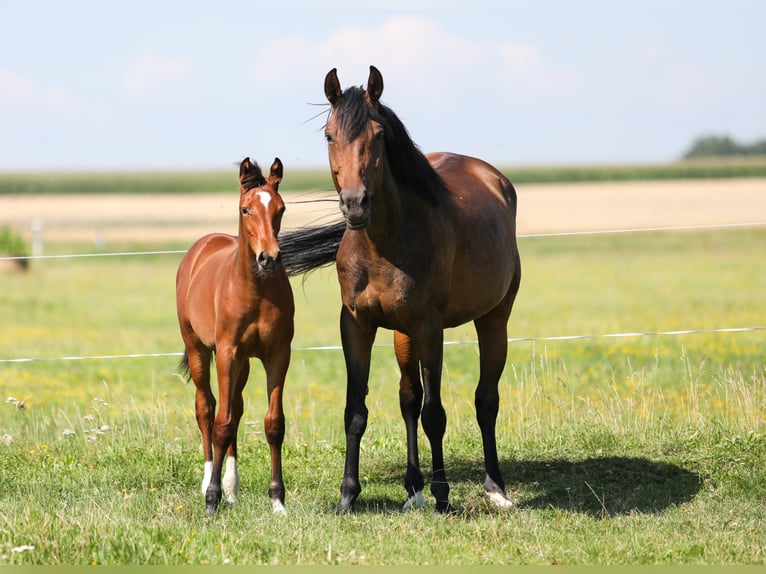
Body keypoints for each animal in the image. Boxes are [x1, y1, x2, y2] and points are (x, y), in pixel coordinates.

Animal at [176, 158, 294, 516]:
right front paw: (211, 499)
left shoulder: (277, 354)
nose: (269, 258)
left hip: (243, 363)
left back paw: (231, 488)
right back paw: (208, 485)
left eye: (281, 208)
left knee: (236, 407)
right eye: (245, 209)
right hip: (200, 350)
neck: (255, 291)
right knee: (207, 407)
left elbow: (273, 423)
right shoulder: (227, 352)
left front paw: (277, 500)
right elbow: (221, 423)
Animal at [282, 65, 520, 516]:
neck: (383, 246)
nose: (355, 204)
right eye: (329, 135)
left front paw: (443, 494)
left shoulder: (430, 328)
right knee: (409, 397)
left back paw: (495, 488)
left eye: (378, 135)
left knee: (486, 400)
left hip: (493, 319)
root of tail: (493, 178)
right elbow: (356, 410)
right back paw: (414, 489)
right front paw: (347, 496)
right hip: (401, 334)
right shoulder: (356, 325)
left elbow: (435, 414)